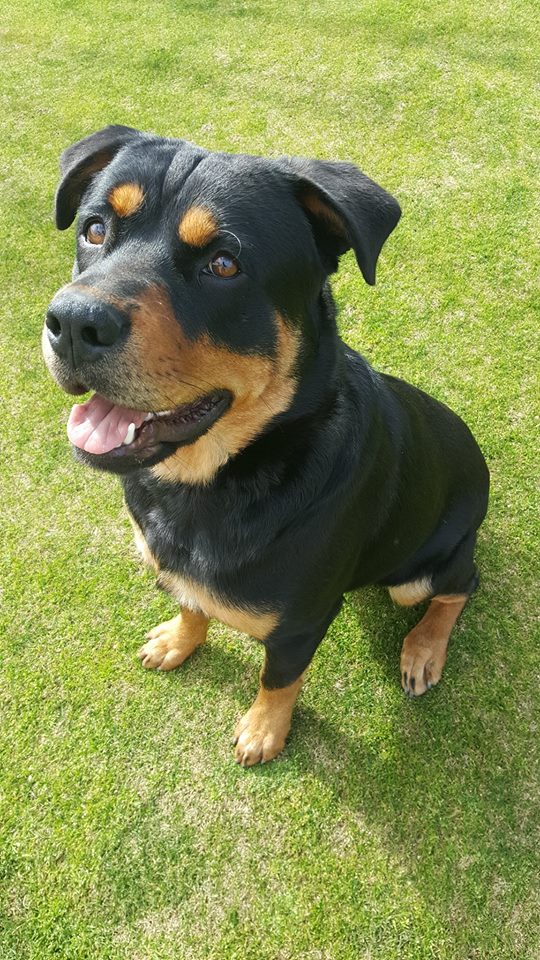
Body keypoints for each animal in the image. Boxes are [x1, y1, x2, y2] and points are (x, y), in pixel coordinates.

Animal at [42, 125, 490, 764]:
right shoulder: (180, 568)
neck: (217, 479)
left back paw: (423, 649)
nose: (73, 323)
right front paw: (178, 640)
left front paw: (263, 730)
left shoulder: (300, 623)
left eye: (224, 264)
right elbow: (190, 602)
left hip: (420, 573)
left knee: (459, 587)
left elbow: (278, 678)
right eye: (95, 228)